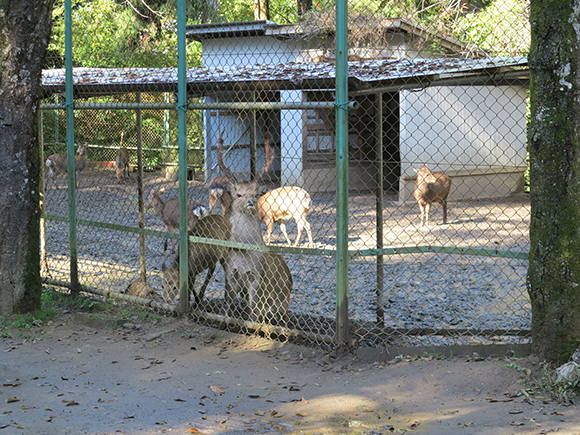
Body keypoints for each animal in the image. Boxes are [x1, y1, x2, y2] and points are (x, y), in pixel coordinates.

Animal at [215, 135, 292, 326]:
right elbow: (228, 305)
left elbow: (252, 309)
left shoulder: (256, 276)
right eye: (239, 194)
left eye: (256, 194)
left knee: (284, 317)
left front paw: (251, 325)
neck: (243, 252)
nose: (250, 202)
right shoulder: (230, 273)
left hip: (284, 298)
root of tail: (291, 279)